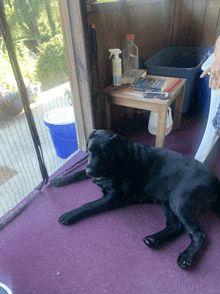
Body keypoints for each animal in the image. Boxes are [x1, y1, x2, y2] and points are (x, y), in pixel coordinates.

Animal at [50, 130, 220, 268]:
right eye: (89, 151)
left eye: (104, 153)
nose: (90, 171)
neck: (121, 161)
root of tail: (215, 181)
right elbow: (77, 173)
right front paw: (59, 180)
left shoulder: (112, 198)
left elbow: (88, 205)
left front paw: (70, 214)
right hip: (166, 201)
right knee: (176, 226)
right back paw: (154, 239)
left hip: (179, 202)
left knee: (199, 235)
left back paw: (187, 256)